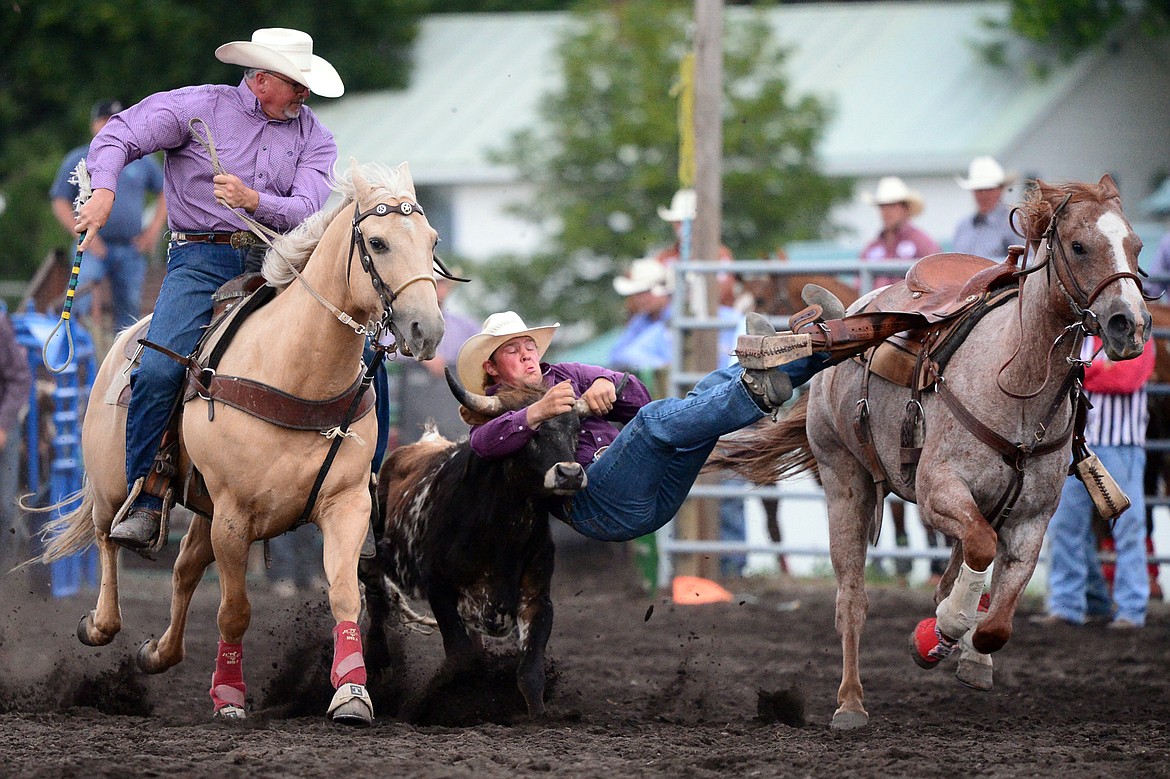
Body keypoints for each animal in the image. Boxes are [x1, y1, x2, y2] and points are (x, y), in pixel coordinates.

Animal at [40, 159, 442, 720]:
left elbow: (345, 595)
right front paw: (229, 696)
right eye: (378, 243)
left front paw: (352, 693)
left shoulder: (346, 505)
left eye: (431, 241)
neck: (296, 371)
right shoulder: (233, 516)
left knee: (184, 568)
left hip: (201, 507)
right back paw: (100, 623)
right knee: (107, 541)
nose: (428, 329)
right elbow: (234, 611)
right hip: (113, 485)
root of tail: (123, 340)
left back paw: (158, 653)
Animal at [716, 175, 1146, 729]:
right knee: (851, 599)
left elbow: (998, 620)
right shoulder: (939, 490)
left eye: (1136, 246)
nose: (1129, 325)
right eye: (1078, 246)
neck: (1016, 380)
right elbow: (977, 555)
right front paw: (944, 627)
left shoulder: (1031, 519)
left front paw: (965, 647)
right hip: (844, 480)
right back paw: (851, 702)